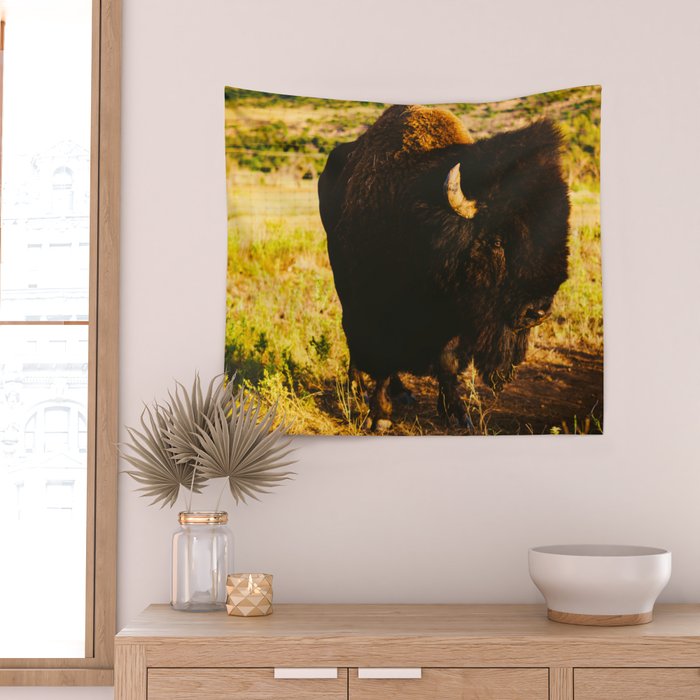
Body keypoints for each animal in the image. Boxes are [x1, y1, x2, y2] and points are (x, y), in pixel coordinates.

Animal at [318, 104, 570, 432]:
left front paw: (459, 413)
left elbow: (447, 361)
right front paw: (380, 416)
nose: (537, 312)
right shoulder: (376, 309)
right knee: (353, 339)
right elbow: (381, 358)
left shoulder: (457, 316)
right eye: (497, 240)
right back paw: (356, 388)